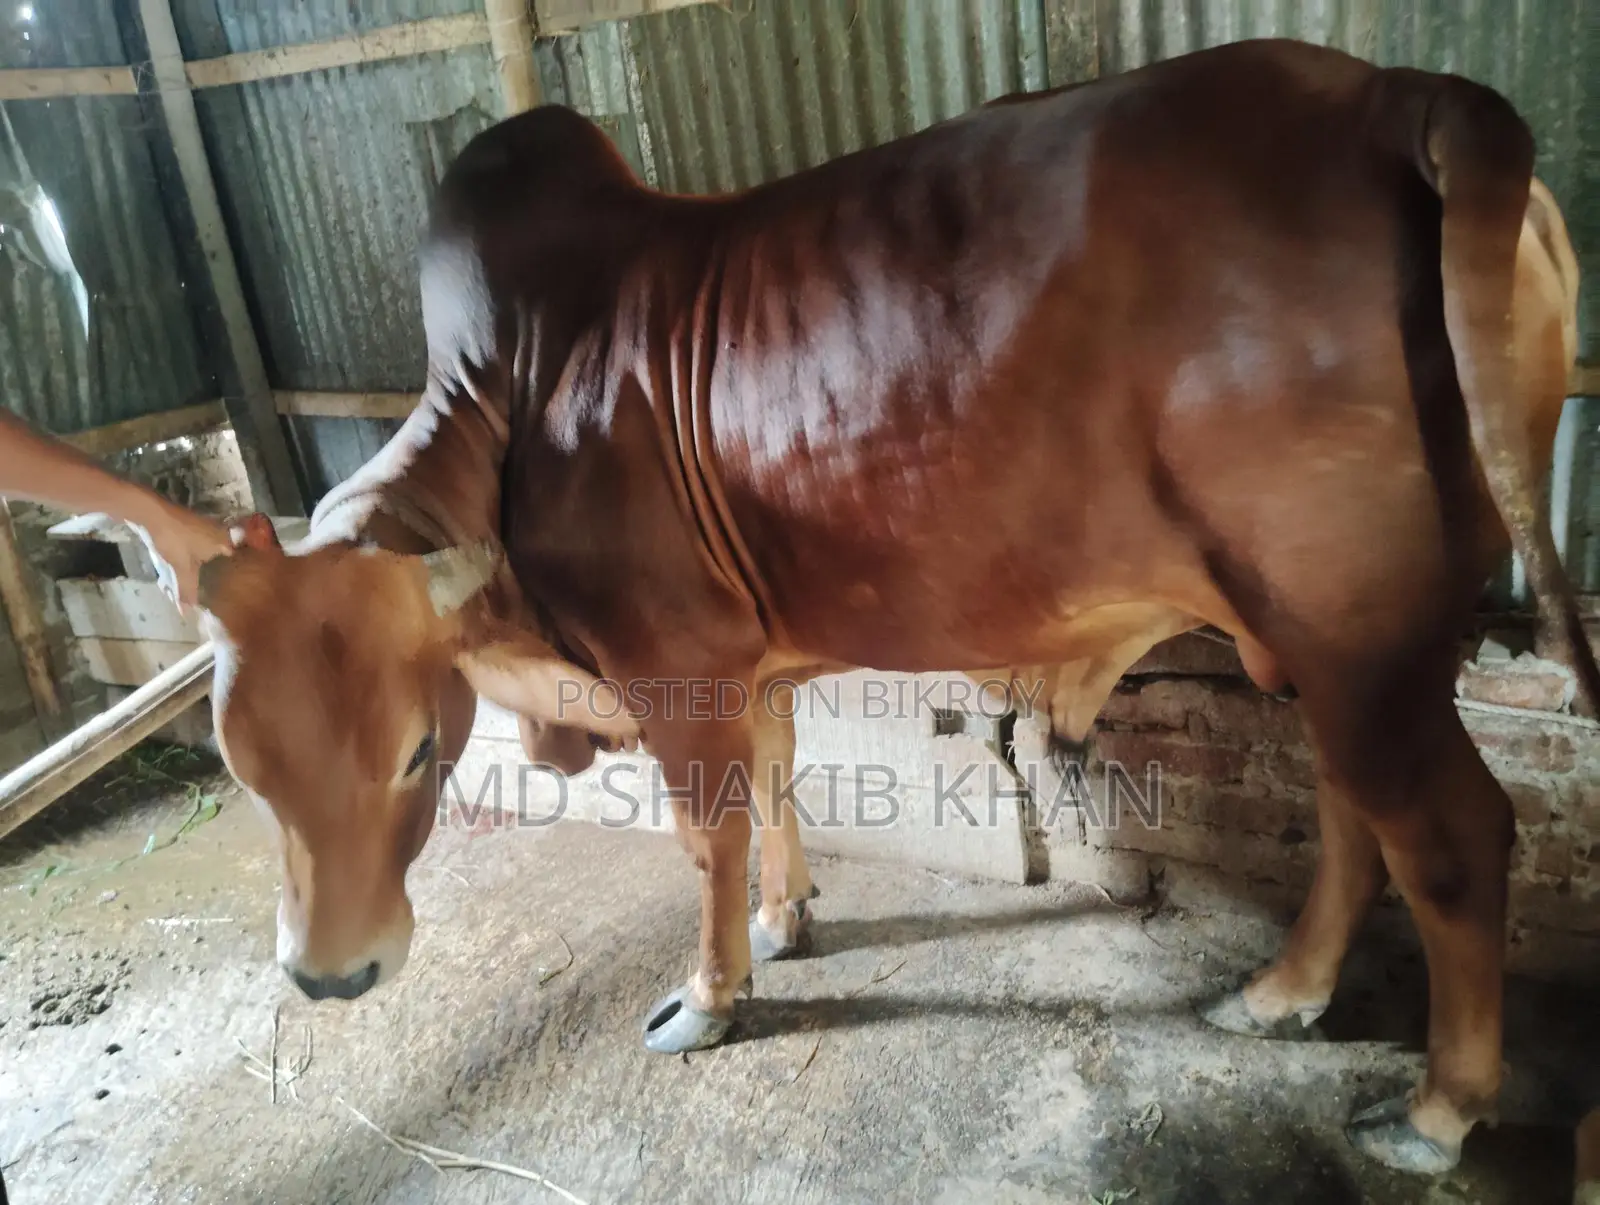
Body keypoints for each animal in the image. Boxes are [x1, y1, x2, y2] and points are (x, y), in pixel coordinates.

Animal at [180, 38, 1595, 1178]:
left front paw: (711, 993)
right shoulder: (751, 667)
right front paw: (787, 917)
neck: (516, 394)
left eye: (419, 748)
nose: (329, 973)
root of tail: (1395, 94)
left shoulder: (675, 666)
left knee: (1452, 835)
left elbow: (707, 831)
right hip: (1337, 641)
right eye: (241, 769)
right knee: (1358, 813)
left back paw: (1435, 1109)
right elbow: (778, 779)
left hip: (1357, 631)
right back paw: (1284, 990)